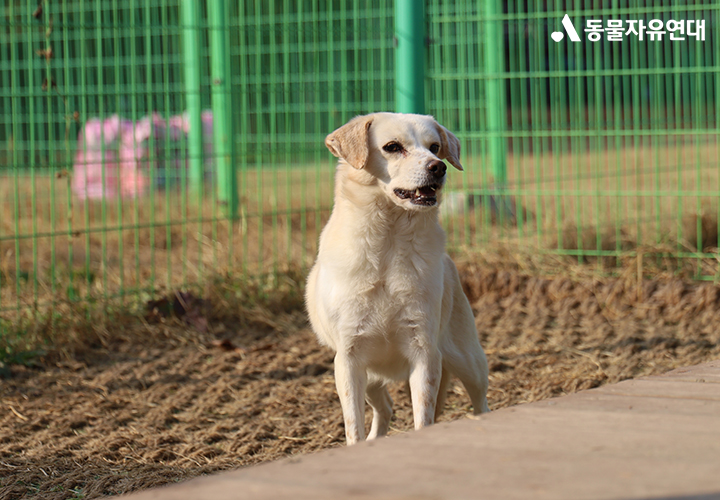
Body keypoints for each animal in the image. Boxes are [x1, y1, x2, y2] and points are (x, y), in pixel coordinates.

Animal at [306, 112, 489, 445]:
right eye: (392, 147)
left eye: (434, 147)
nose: (438, 167)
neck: (388, 246)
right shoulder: (349, 360)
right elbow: (353, 426)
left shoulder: (425, 352)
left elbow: (423, 417)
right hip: (372, 379)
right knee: (386, 408)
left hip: (467, 360)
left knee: (480, 400)